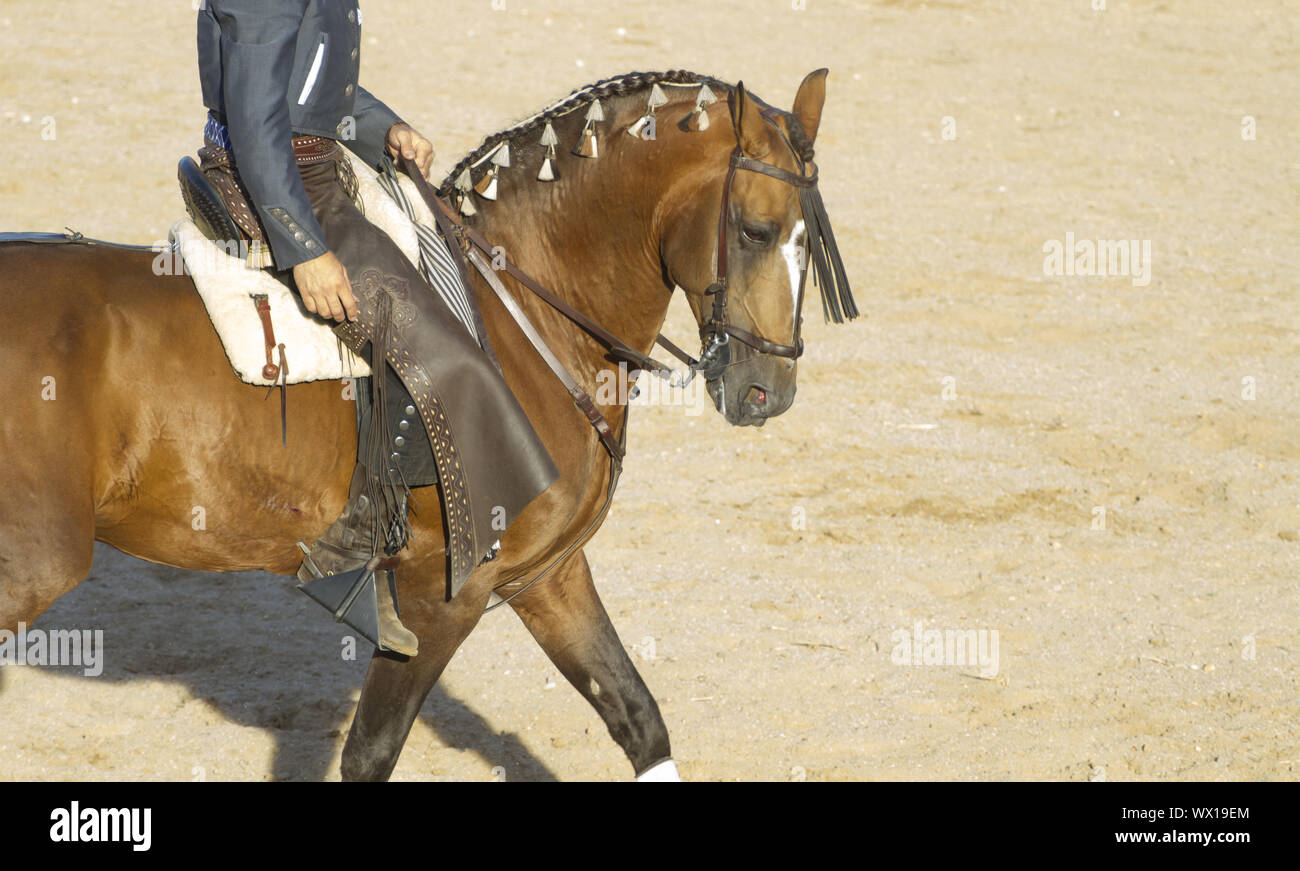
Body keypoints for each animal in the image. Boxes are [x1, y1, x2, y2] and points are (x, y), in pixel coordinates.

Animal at [0, 65, 847, 780]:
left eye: (810, 238)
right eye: (756, 231)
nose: (768, 389)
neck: (526, 316)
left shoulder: (548, 573)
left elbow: (638, 715)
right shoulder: (442, 593)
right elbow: (371, 753)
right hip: (37, 565)